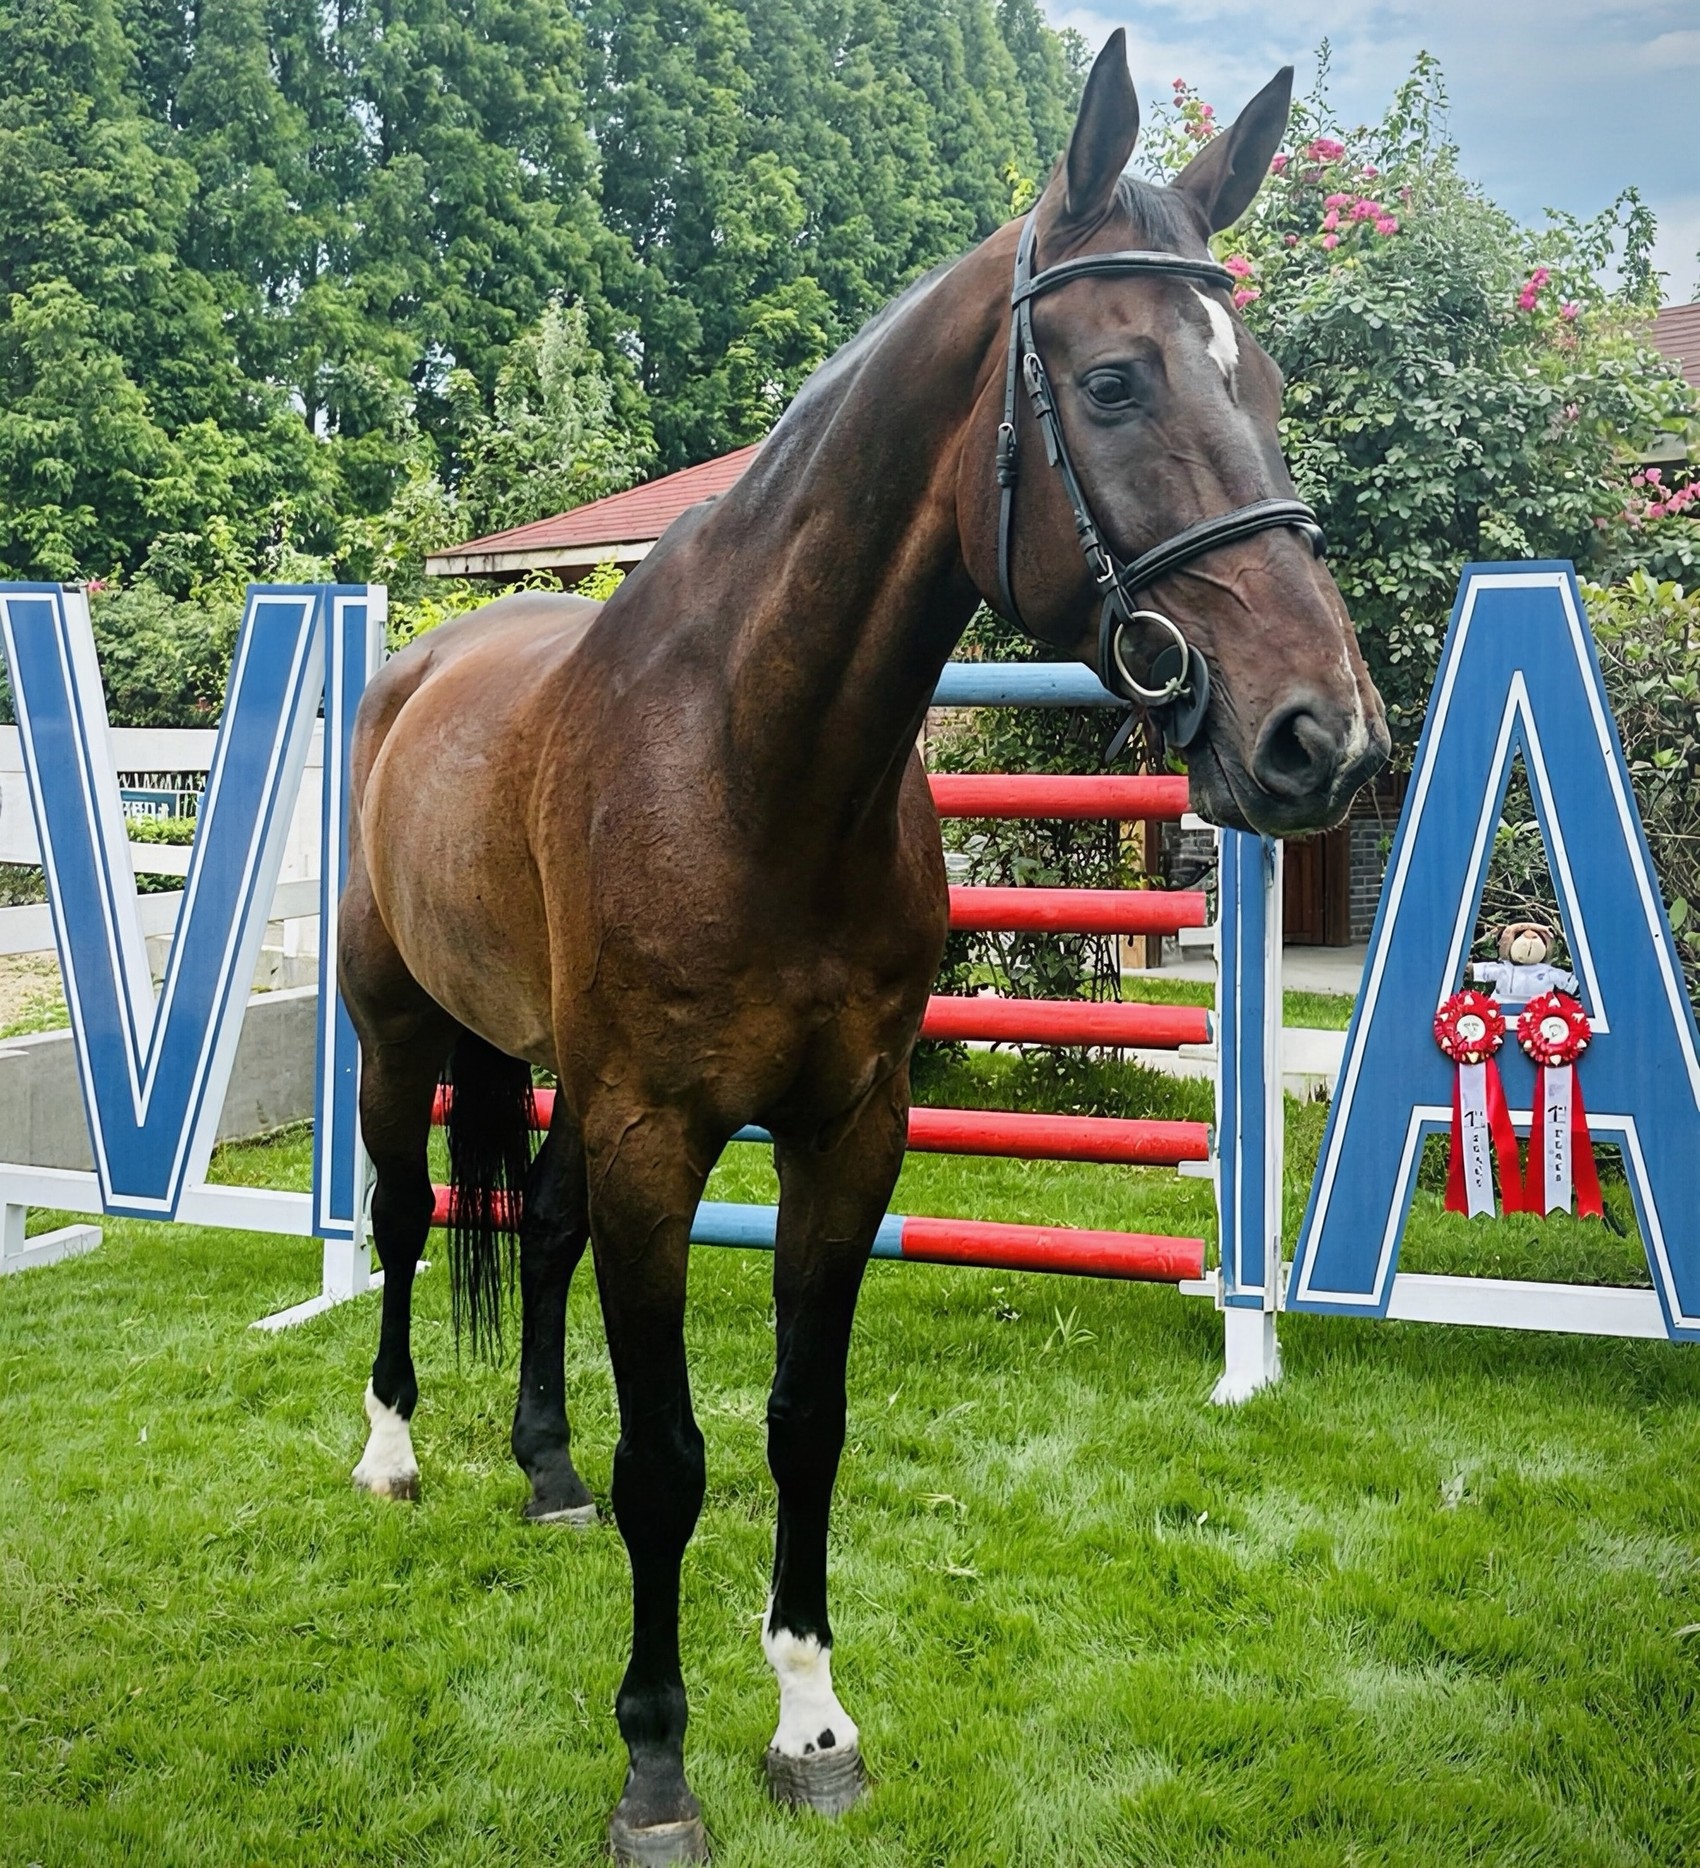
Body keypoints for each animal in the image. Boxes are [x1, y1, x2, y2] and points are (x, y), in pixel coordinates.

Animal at [339, 32, 1389, 1863]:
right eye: (1118, 383)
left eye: (1256, 386)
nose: (1321, 738)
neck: (750, 762)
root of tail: (425, 654)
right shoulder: (657, 1137)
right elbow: (673, 1459)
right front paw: (656, 1764)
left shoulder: (848, 1130)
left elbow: (800, 1425)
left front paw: (811, 1718)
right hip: (401, 1036)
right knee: (408, 1220)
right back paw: (396, 1454)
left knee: (533, 1238)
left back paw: (540, 1470)